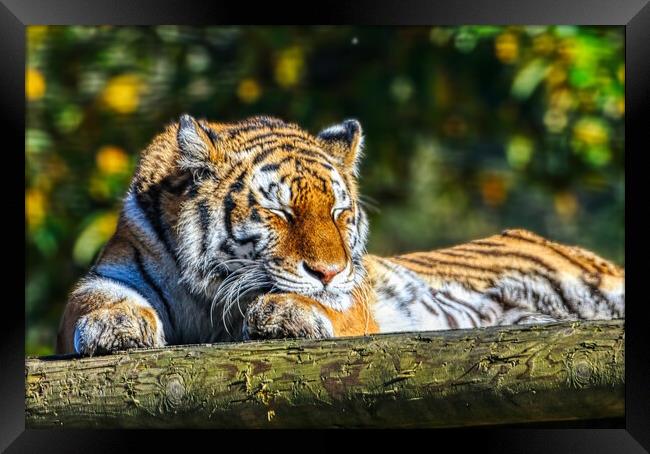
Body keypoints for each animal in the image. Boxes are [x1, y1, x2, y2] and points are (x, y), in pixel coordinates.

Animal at [55, 113, 624, 354]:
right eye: (279, 211)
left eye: (338, 212)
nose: (329, 270)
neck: (206, 295)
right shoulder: (110, 274)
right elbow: (94, 302)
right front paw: (116, 325)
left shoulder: (354, 295)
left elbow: (320, 302)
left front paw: (283, 314)